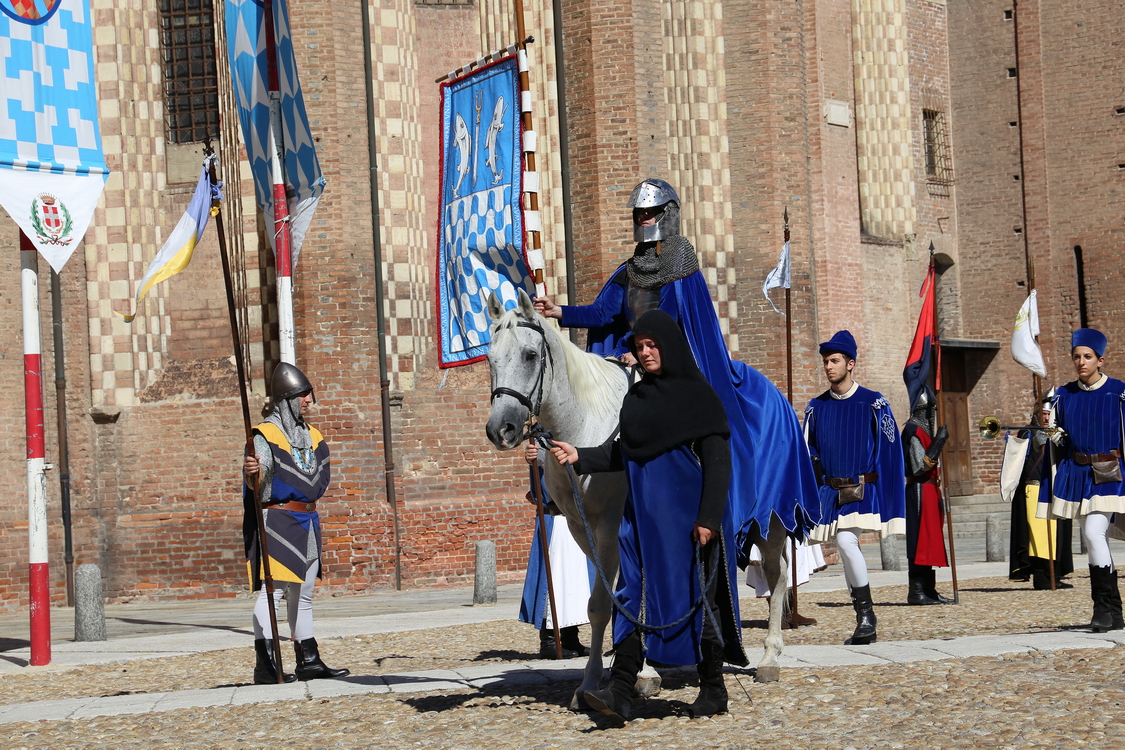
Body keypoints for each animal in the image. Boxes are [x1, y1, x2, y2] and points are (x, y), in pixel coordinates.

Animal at [483, 290, 792, 715]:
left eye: (530, 355)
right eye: (489, 358)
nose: (501, 430)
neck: (585, 420)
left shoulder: (614, 525)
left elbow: (608, 601)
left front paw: (616, 679)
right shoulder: (581, 528)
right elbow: (609, 601)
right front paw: (611, 676)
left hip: (771, 518)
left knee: (777, 573)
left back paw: (770, 658)